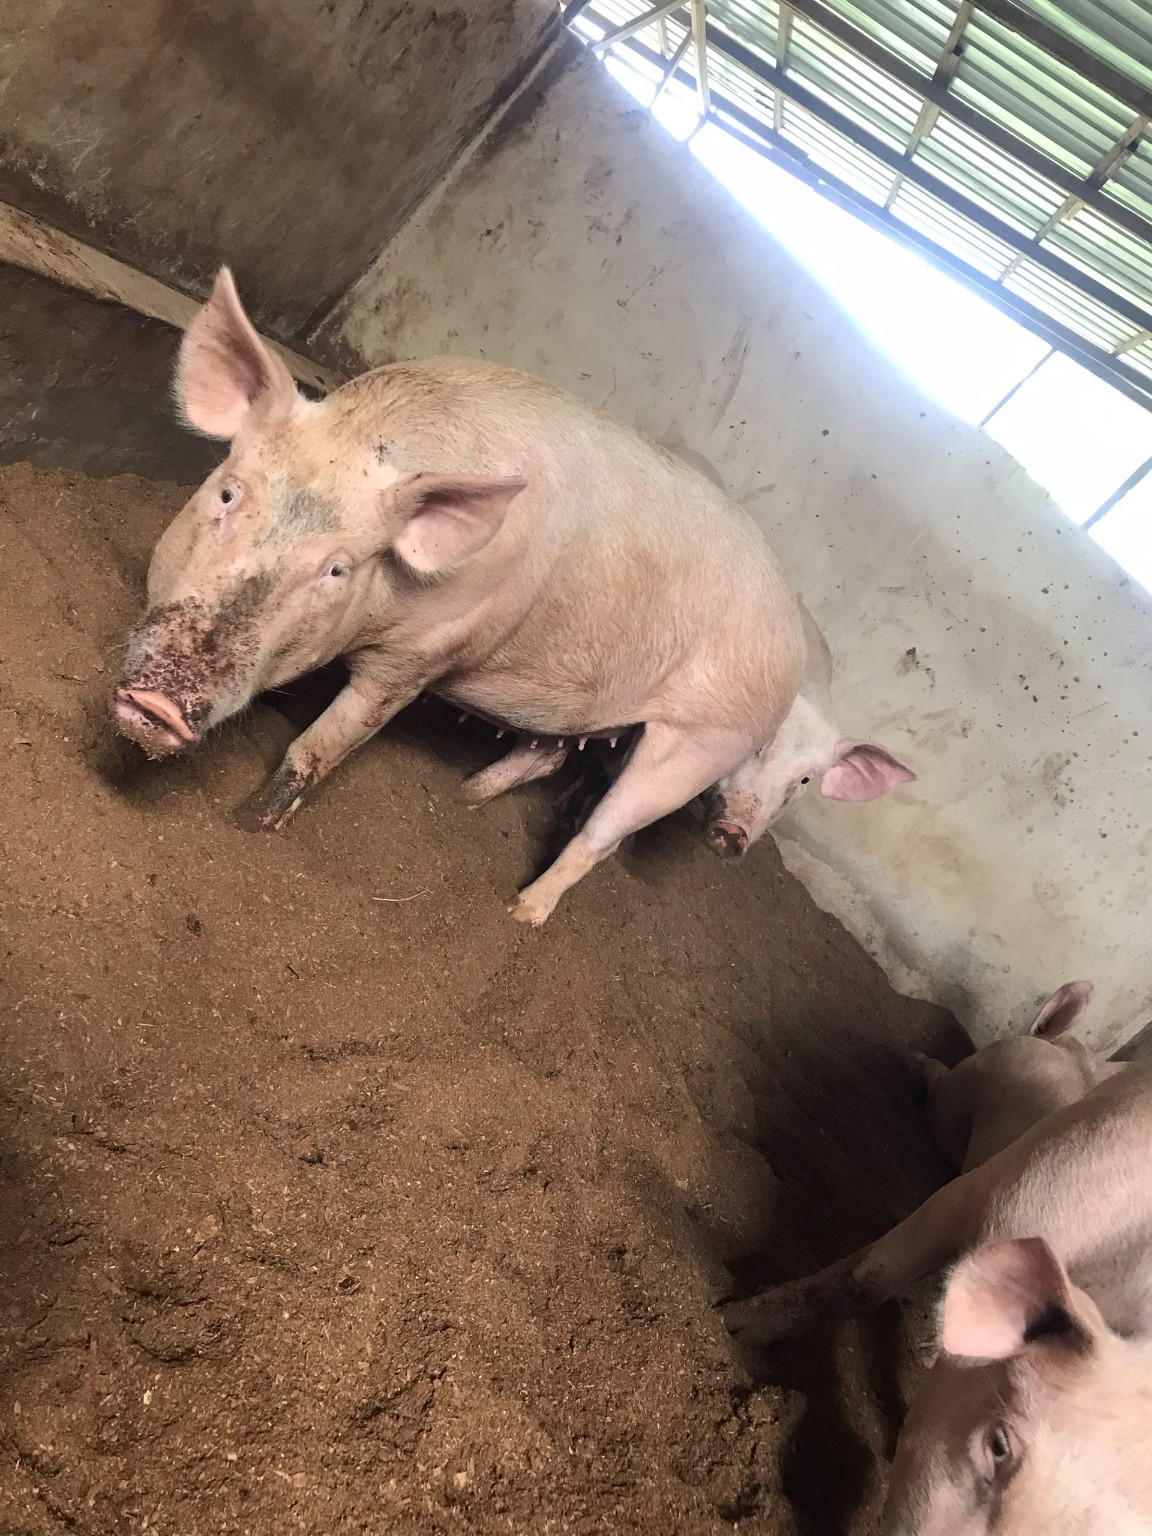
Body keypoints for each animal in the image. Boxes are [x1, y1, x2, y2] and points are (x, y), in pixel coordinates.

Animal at [114, 269, 810, 926]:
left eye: (337, 569)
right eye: (229, 493)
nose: (160, 702)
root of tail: (796, 638)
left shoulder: (420, 659)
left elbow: (320, 748)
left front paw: (249, 826)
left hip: (703, 742)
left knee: (605, 834)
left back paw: (519, 912)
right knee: (547, 754)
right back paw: (463, 798)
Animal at [722, 1020, 1152, 1532]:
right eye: (999, 1446)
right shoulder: (1004, 1187)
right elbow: (863, 1282)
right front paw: (732, 1324)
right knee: (940, 1088)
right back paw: (915, 1061)